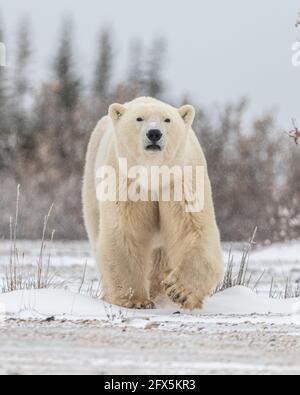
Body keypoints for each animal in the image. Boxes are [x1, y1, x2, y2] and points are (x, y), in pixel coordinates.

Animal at [82, 97, 223, 310]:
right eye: (139, 118)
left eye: (167, 119)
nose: (154, 133)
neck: (153, 174)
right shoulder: (127, 182)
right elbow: (125, 233)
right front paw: (136, 300)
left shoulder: (180, 180)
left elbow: (193, 228)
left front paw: (179, 291)